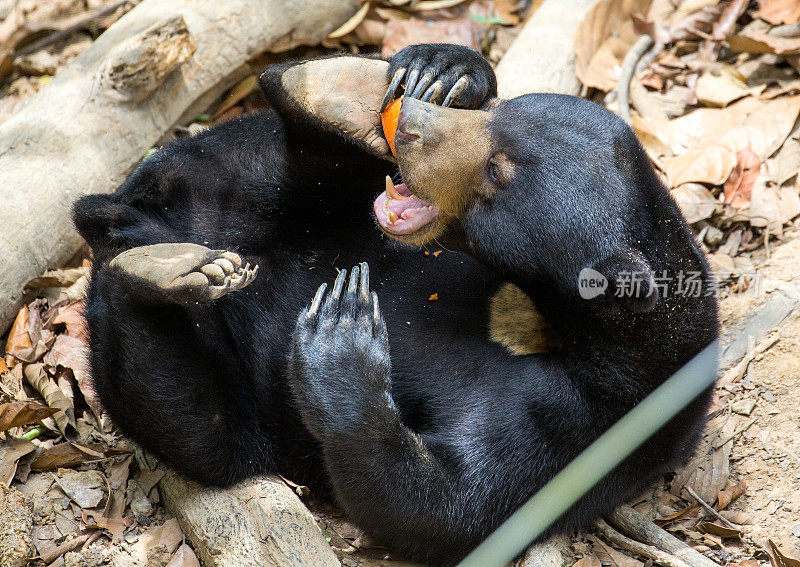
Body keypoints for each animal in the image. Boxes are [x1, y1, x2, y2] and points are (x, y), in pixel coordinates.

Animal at [70, 46, 720, 564]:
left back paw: (167, 267)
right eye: (495, 121)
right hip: (243, 165)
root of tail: (139, 214)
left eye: (496, 173)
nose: (408, 121)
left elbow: (441, 506)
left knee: (192, 419)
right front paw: (443, 72)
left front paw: (342, 336)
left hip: (234, 408)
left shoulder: (592, 423)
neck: (535, 316)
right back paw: (332, 90)